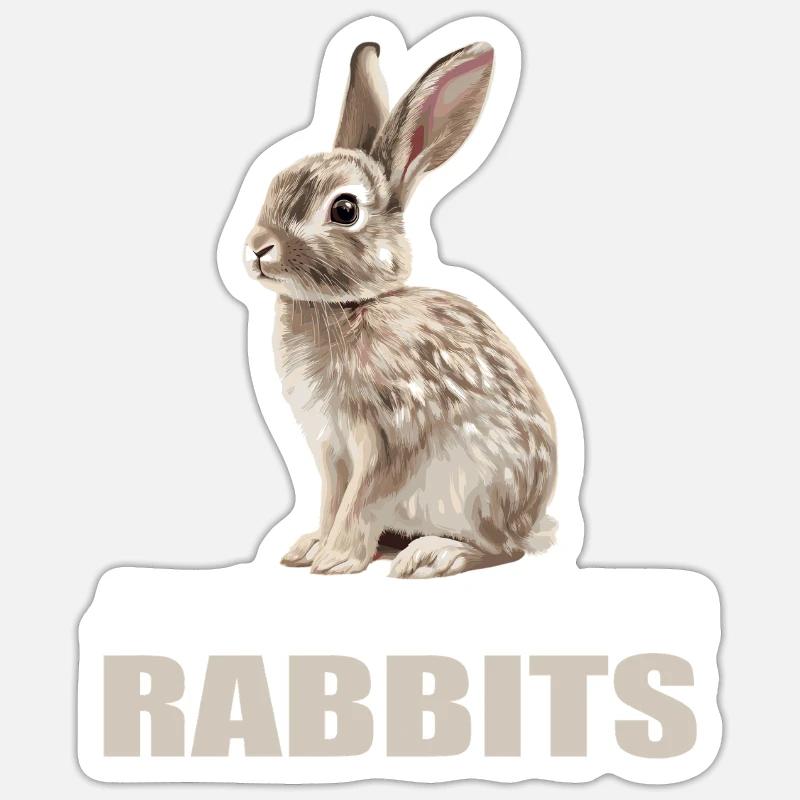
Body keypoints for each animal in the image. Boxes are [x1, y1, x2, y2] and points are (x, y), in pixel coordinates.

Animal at [243, 41, 556, 577]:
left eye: (344, 210)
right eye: (277, 182)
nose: (258, 248)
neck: (353, 306)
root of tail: (532, 521)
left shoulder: (388, 438)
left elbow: (359, 502)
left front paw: (335, 560)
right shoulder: (332, 449)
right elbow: (333, 501)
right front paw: (311, 548)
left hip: (476, 492)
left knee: (502, 550)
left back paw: (433, 555)